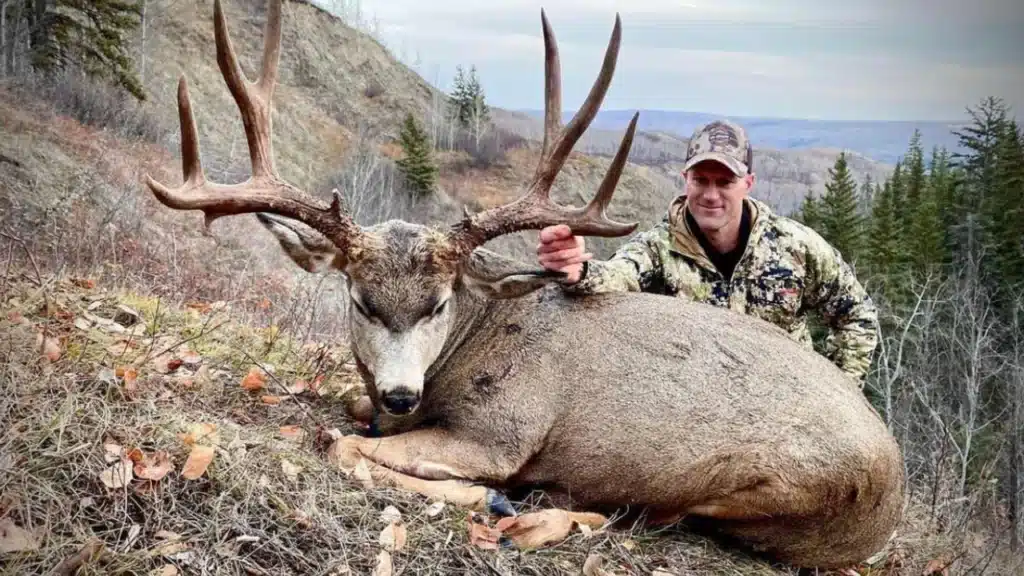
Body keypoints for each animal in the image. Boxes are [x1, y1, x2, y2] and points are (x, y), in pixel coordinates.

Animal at [143, 0, 905, 569]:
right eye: (360, 299)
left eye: (440, 303)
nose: (400, 393)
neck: (460, 358)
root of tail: (894, 487)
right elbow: (350, 414)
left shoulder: (501, 432)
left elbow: (347, 445)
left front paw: (476, 492)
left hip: (757, 485)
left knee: (648, 514)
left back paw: (526, 513)